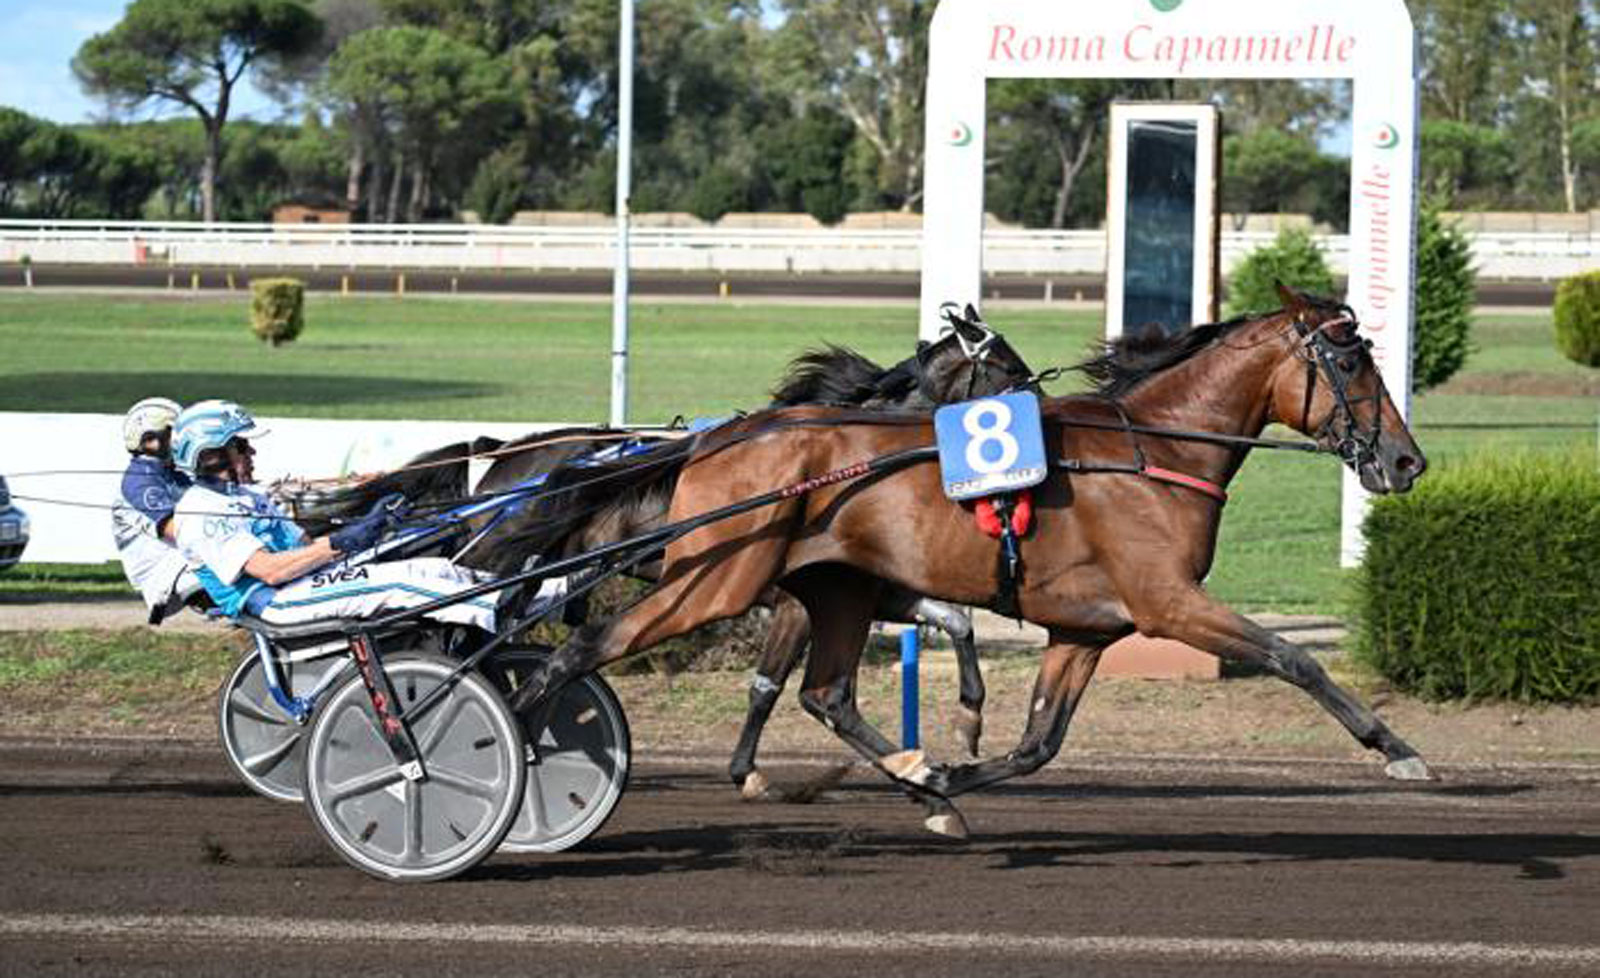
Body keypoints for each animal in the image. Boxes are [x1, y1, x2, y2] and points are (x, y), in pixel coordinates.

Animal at [505, 286, 1433, 838]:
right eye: (1350, 360)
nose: (1406, 461)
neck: (1153, 451)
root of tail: (715, 439)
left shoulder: (1084, 629)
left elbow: (1037, 745)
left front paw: (947, 773)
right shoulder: (1168, 603)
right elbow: (1292, 658)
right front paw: (1395, 747)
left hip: (832, 590)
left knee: (826, 694)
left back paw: (921, 785)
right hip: (712, 582)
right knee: (580, 649)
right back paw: (510, 746)